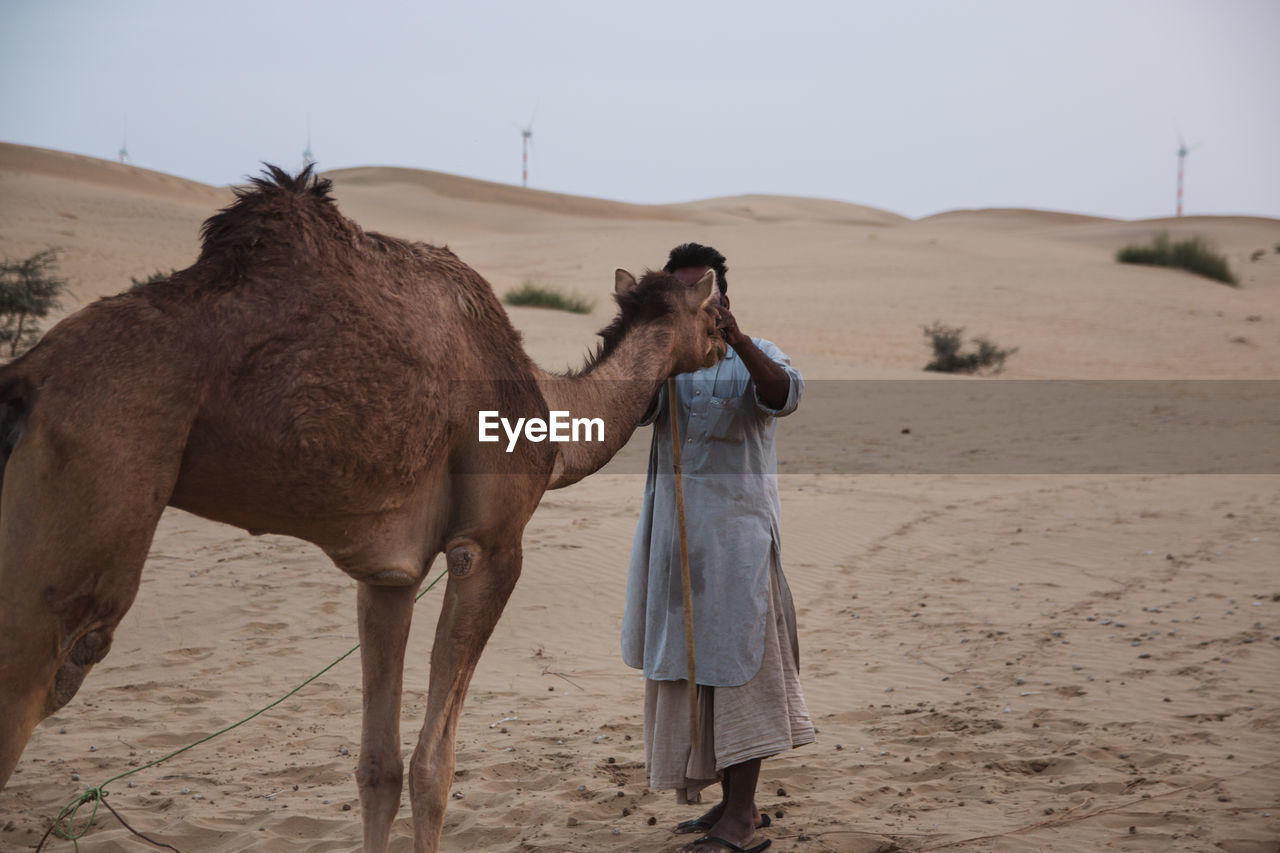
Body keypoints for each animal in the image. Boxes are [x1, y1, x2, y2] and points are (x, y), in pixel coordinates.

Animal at [0, 162, 727, 845]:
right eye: (715, 311)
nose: (730, 338)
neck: (548, 407)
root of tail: (27, 377)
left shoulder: (387, 572)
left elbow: (378, 766)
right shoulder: (488, 546)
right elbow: (434, 765)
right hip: (91, 501)